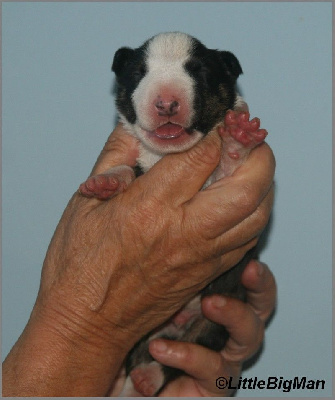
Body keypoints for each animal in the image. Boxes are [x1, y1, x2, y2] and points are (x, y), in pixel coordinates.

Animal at [79, 32, 268, 396]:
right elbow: (129, 170)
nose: (166, 103)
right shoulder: (141, 165)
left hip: (215, 320)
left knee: (183, 352)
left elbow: (225, 169)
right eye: (139, 72)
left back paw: (148, 377)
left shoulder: (217, 187)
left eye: (199, 72)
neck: (165, 156)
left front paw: (237, 141)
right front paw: (107, 181)